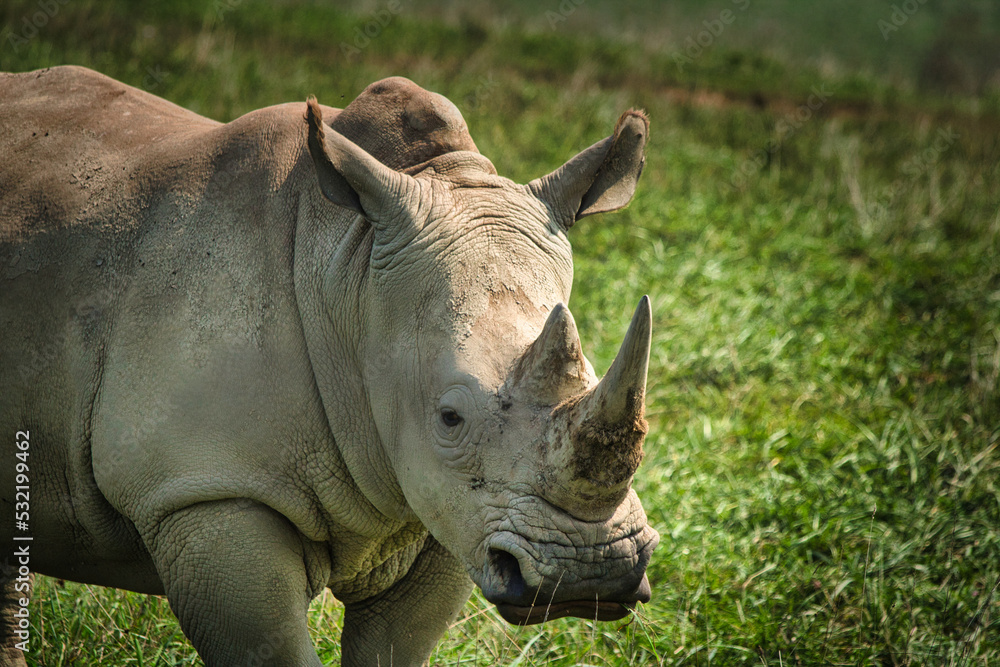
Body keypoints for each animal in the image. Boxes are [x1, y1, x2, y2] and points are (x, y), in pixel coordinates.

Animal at [0, 66, 659, 666]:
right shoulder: (207, 488)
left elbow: (394, 648)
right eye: (449, 418)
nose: (592, 574)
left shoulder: (452, 511)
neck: (351, 274)